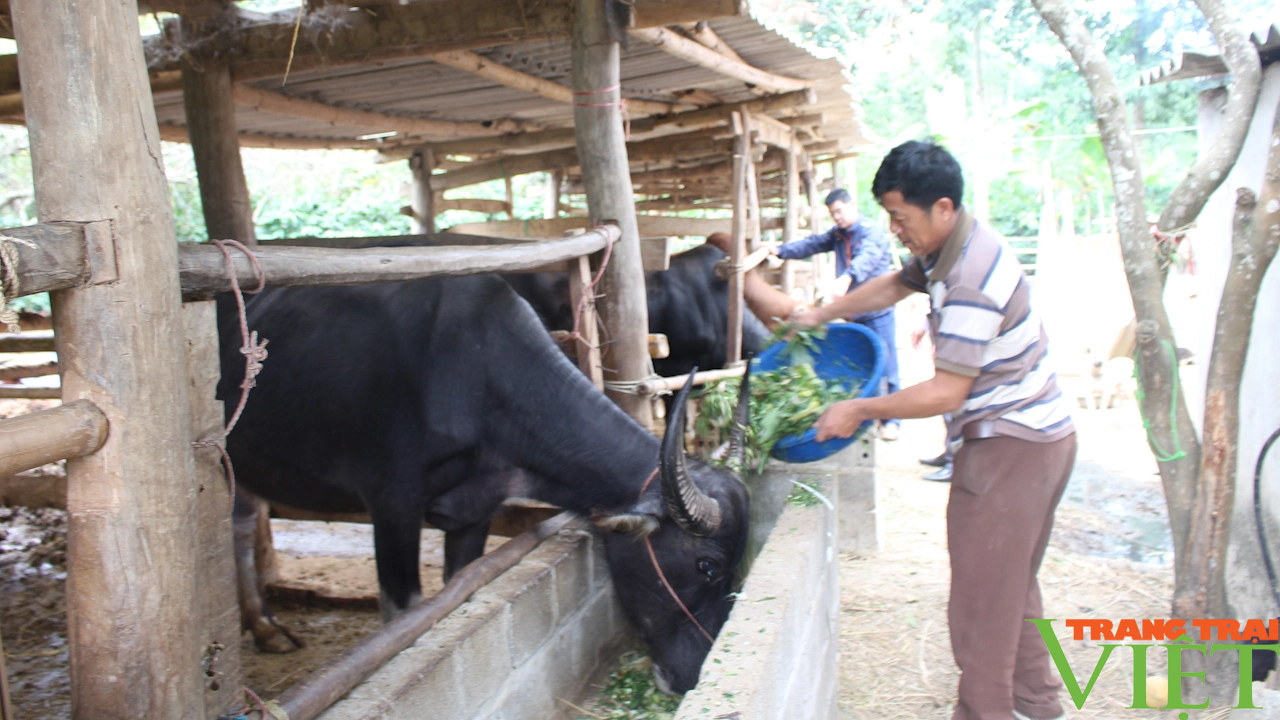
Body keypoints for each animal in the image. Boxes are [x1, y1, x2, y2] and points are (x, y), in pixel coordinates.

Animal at [217, 270, 747, 691]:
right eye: (707, 565)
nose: (691, 678)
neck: (479, 379)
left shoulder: (473, 514)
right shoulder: (392, 507)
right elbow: (405, 616)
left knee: (239, 529)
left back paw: (265, 629)